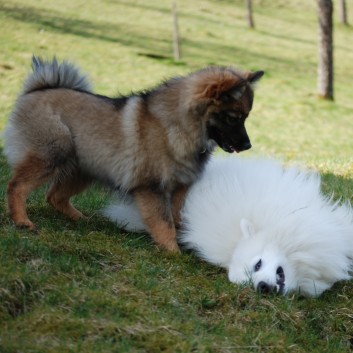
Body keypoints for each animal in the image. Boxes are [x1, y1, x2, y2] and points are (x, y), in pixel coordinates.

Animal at [2, 56, 262, 250]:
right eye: (234, 117)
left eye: (245, 117)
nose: (248, 145)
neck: (180, 126)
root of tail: (35, 90)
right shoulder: (151, 188)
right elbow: (164, 224)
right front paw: (173, 252)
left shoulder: (180, 187)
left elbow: (175, 218)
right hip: (52, 153)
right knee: (17, 186)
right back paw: (22, 221)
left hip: (85, 167)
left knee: (54, 196)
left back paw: (81, 219)